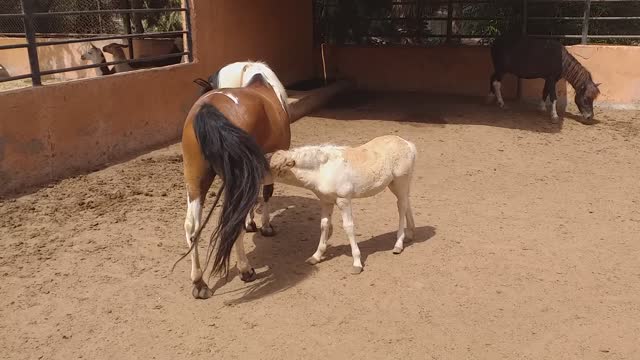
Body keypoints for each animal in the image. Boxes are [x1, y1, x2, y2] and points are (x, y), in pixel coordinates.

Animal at [180, 72, 290, 298]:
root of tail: (207, 109)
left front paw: (252, 223)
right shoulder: (268, 167)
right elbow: (266, 194)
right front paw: (265, 226)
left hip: (195, 180)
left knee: (192, 227)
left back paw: (199, 283)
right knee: (232, 220)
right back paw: (245, 270)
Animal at [268, 134, 418, 272]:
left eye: (274, 168)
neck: (323, 171)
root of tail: (407, 143)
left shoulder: (344, 201)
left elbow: (348, 227)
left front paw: (357, 263)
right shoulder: (326, 201)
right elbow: (324, 224)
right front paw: (316, 256)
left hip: (400, 181)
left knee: (401, 206)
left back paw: (398, 244)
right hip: (396, 184)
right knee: (406, 202)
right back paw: (410, 234)